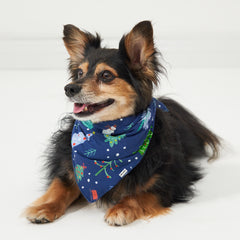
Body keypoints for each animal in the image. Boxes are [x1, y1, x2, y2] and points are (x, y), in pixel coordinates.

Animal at [23, 20, 220, 225]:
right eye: (79, 73)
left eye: (106, 75)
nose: (69, 88)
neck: (108, 137)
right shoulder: (70, 169)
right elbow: (59, 186)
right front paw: (44, 207)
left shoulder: (173, 181)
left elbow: (141, 194)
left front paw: (121, 209)